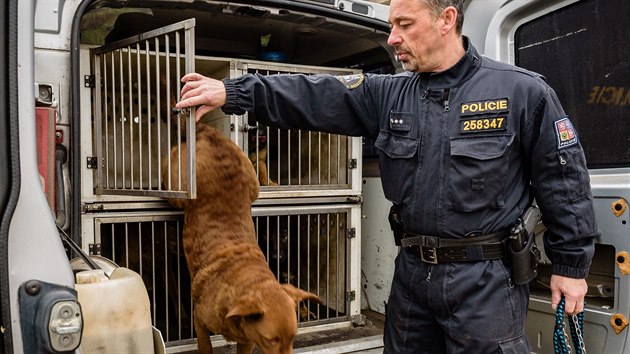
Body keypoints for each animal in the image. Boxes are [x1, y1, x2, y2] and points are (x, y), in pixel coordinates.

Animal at [163, 122, 320, 354]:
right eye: (271, 340)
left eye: (293, 338)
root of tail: (211, 134)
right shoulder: (200, 323)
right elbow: (206, 346)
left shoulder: (247, 340)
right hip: (179, 187)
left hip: (252, 180)